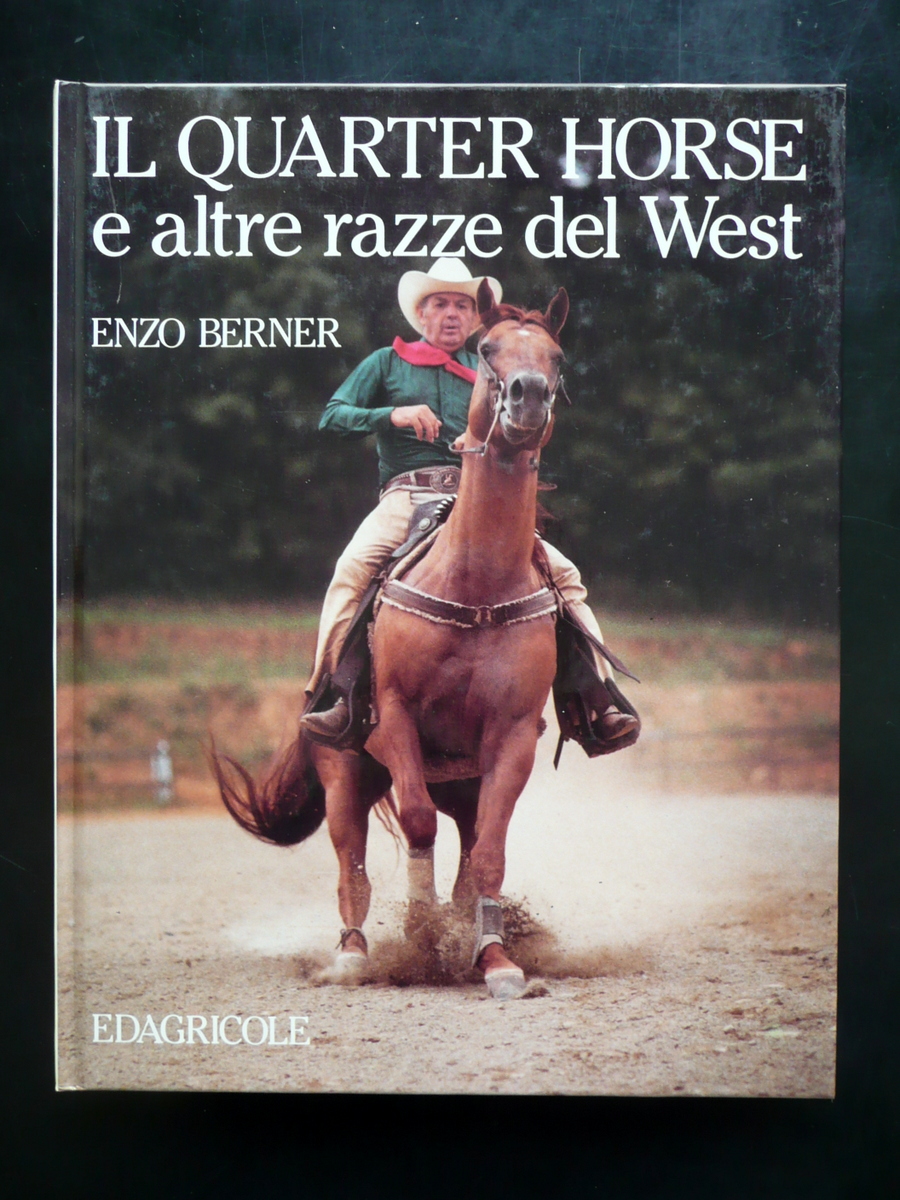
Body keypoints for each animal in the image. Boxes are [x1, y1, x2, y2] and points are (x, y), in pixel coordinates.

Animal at [215, 280, 570, 1001]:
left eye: (556, 356)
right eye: (488, 349)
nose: (527, 397)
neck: (474, 585)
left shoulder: (514, 737)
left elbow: (489, 853)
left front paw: (494, 959)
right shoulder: (396, 722)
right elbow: (415, 824)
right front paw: (422, 936)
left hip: (462, 782)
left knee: (466, 849)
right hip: (344, 772)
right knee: (351, 863)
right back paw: (352, 956)